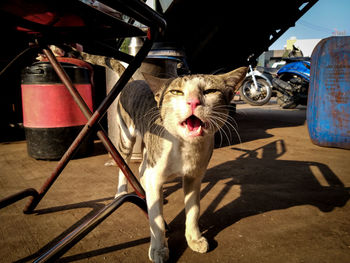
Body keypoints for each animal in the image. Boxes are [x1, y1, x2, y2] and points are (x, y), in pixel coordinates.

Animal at [115, 67, 246, 262]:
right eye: (176, 92)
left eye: (210, 91)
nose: (193, 102)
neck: (185, 147)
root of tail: (134, 80)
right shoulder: (156, 173)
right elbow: (156, 219)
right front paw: (159, 248)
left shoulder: (194, 177)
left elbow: (194, 210)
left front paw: (194, 238)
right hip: (127, 136)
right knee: (124, 165)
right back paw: (121, 192)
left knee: (141, 169)